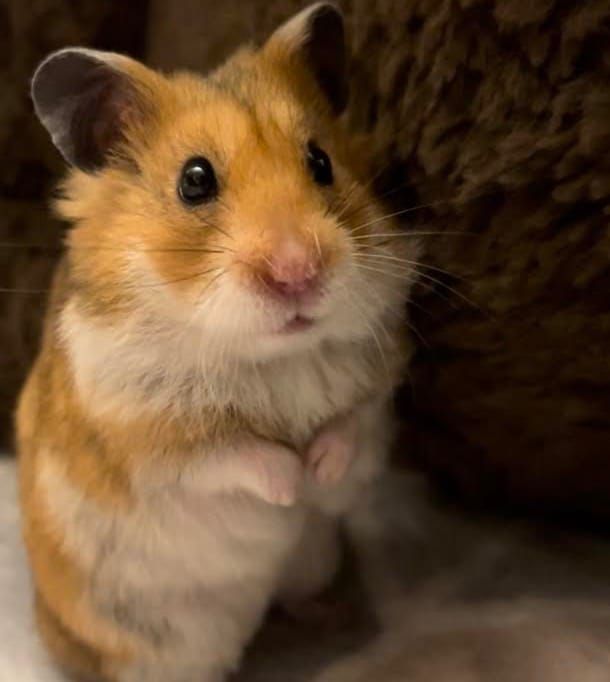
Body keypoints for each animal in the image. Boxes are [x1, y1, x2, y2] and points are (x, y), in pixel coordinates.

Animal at [17, 3, 415, 682]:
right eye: (194, 180)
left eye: (320, 161)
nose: (299, 272)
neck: (273, 356)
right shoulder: (152, 439)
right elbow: (242, 454)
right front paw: (293, 487)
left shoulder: (374, 389)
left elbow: (346, 428)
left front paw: (320, 473)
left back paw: (329, 613)